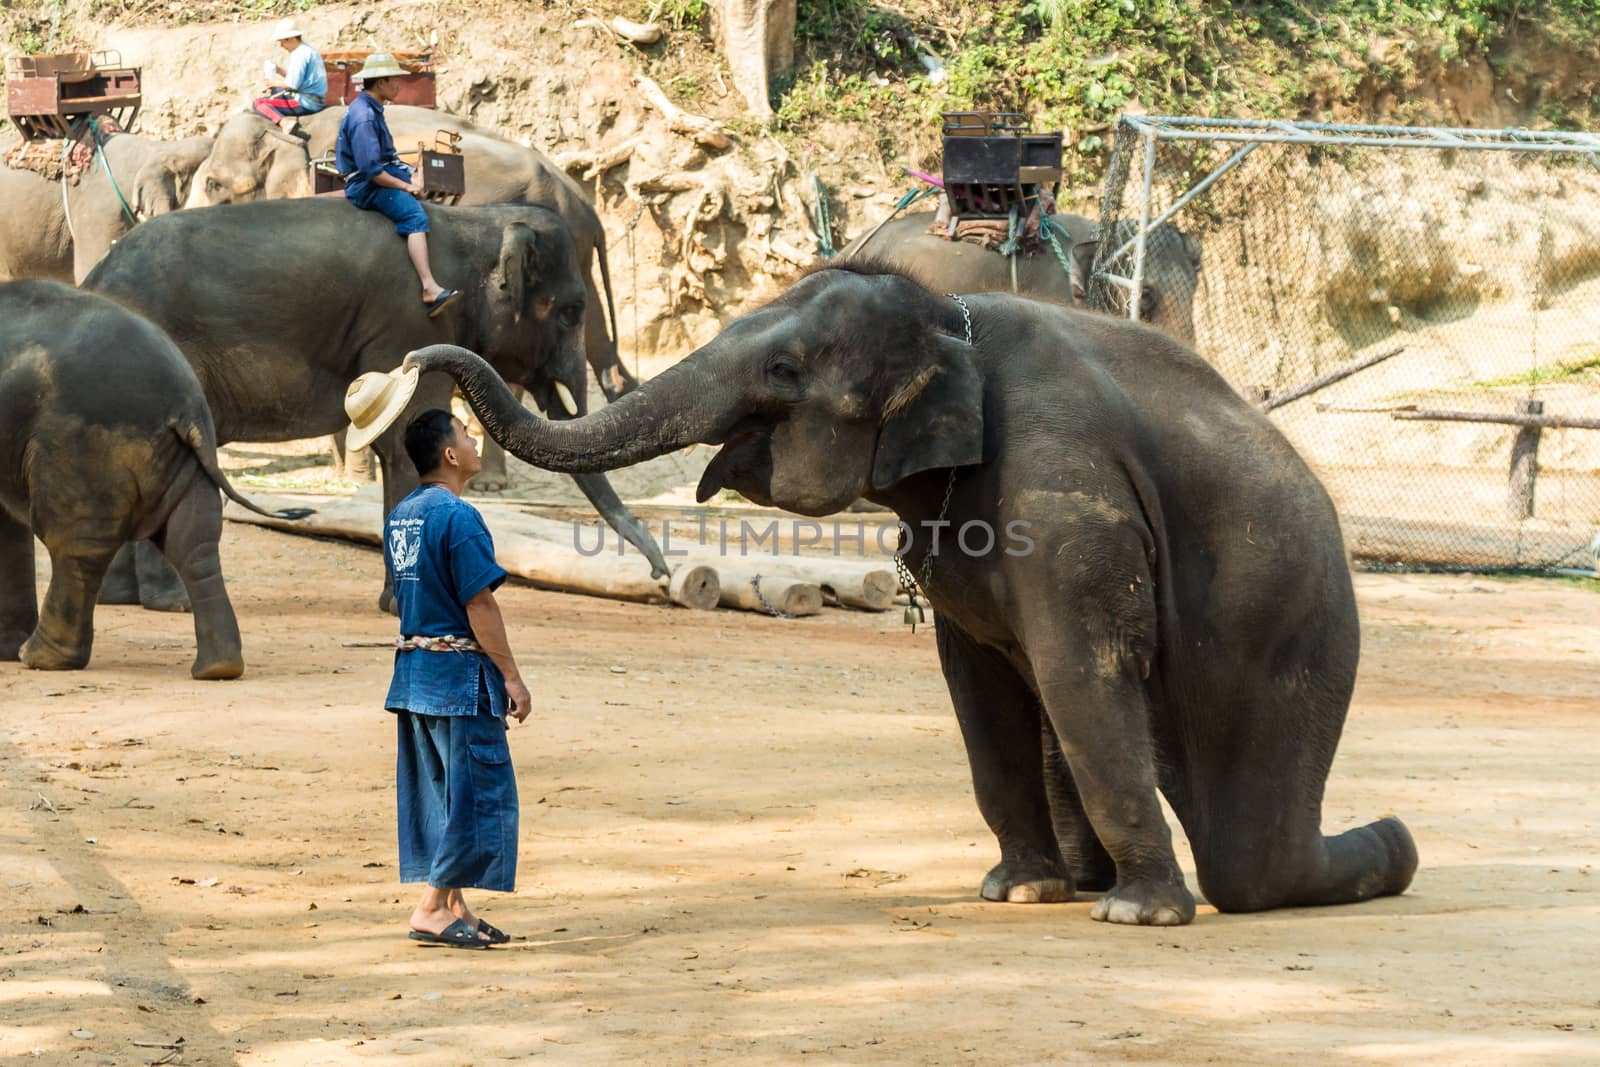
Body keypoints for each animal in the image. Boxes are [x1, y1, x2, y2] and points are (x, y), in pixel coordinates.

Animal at [0, 278, 308, 675]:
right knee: (193, 540)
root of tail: (186, 404)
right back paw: (217, 668)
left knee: (73, 545)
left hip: (82, 450)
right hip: (182, 457)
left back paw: (39, 658)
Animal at [79, 197, 668, 614]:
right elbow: (407, 440)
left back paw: (120, 598)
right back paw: (170, 603)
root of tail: (95, 275)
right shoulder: (412, 321)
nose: (661, 577)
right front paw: (398, 608)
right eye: (570, 311)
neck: (473, 222)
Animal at [406, 260, 1420, 927]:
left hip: (1290, 627)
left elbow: (1079, 667)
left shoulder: (1060, 486)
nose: (419, 360)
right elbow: (980, 685)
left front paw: (1140, 916)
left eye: (783, 371)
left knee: (1252, 858)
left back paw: (1387, 847)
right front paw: (1020, 891)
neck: (950, 321)